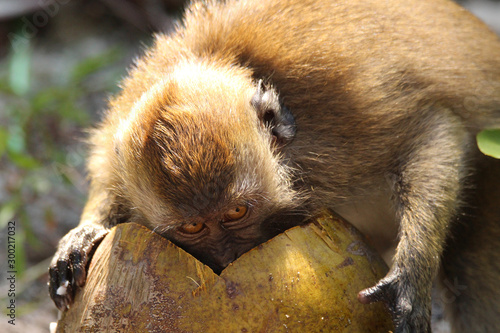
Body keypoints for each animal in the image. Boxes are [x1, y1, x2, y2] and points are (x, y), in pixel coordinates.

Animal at [48, 0, 500, 330]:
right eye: (193, 227)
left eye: (236, 212)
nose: (229, 256)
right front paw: (82, 236)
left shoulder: (345, 131)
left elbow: (433, 130)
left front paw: (411, 273)